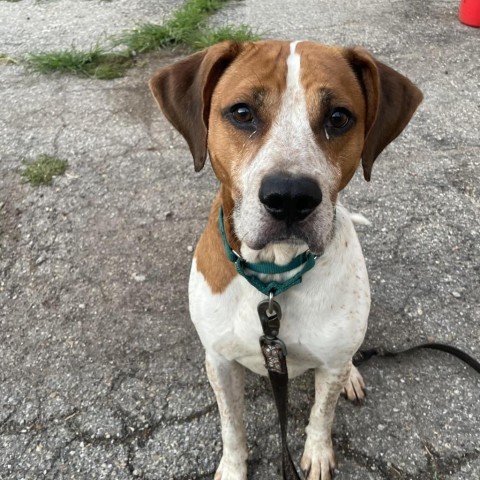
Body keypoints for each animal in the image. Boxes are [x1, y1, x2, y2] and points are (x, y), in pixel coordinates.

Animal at [148, 40, 422, 480]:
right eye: (242, 112)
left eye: (338, 118)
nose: (290, 197)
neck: (274, 276)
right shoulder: (220, 364)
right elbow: (231, 425)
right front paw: (233, 467)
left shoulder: (329, 366)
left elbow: (322, 415)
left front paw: (319, 453)